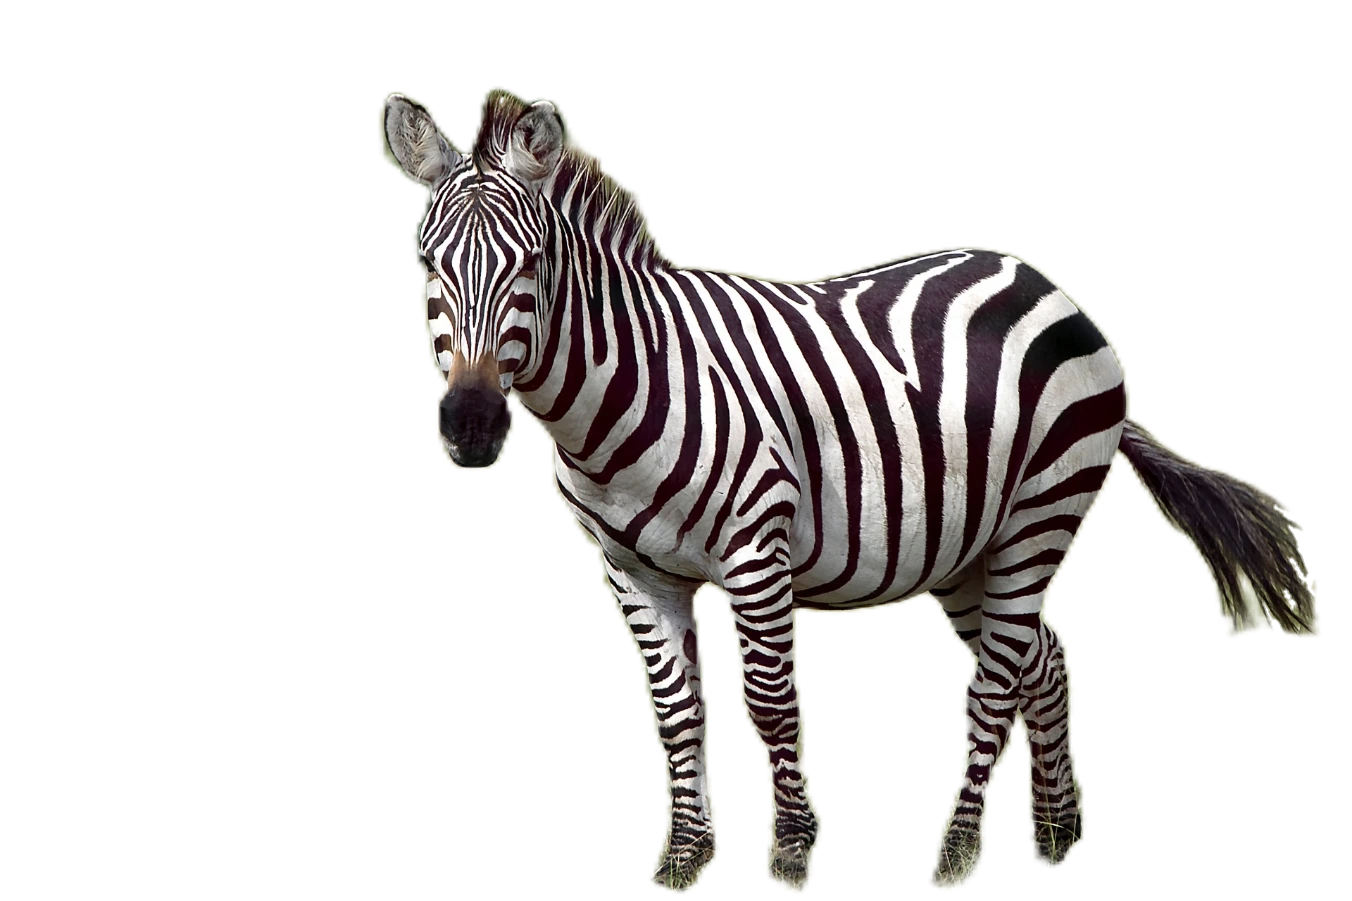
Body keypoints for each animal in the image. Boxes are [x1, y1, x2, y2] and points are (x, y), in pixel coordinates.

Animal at [382, 87, 1322, 893]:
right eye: (427, 263)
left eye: (533, 263)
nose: (471, 425)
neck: (626, 385)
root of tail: (1046, 284)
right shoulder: (632, 567)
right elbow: (676, 711)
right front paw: (685, 858)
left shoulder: (756, 545)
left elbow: (770, 702)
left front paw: (794, 856)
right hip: (970, 545)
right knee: (1042, 661)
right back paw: (1056, 838)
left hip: (1037, 515)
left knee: (996, 683)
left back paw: (957, 855)